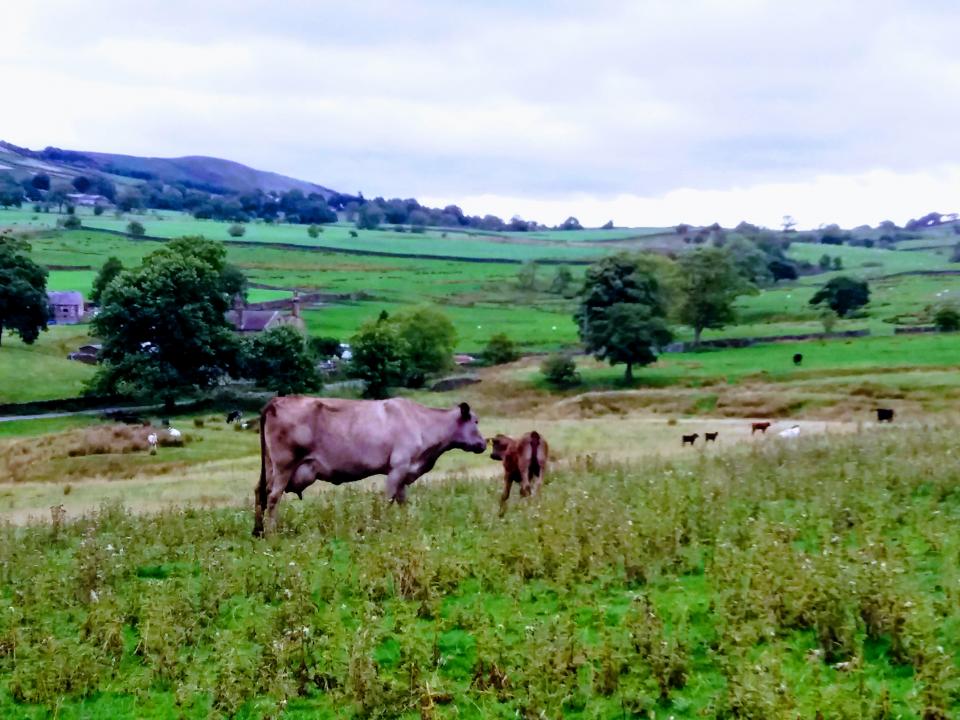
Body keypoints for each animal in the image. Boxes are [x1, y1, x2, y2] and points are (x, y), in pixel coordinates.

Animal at [253, 396, 488, 536]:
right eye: (475, 422)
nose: (484, 443)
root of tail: (276, 401)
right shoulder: (398, 467)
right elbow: (389, 499)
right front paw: (380, 526)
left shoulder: (404, 471)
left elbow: (403, 501)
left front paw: (406, 525)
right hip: (284, 464)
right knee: (273, 497)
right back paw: (272, 533)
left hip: (271, 467)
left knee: (260, 493)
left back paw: (258, 531)